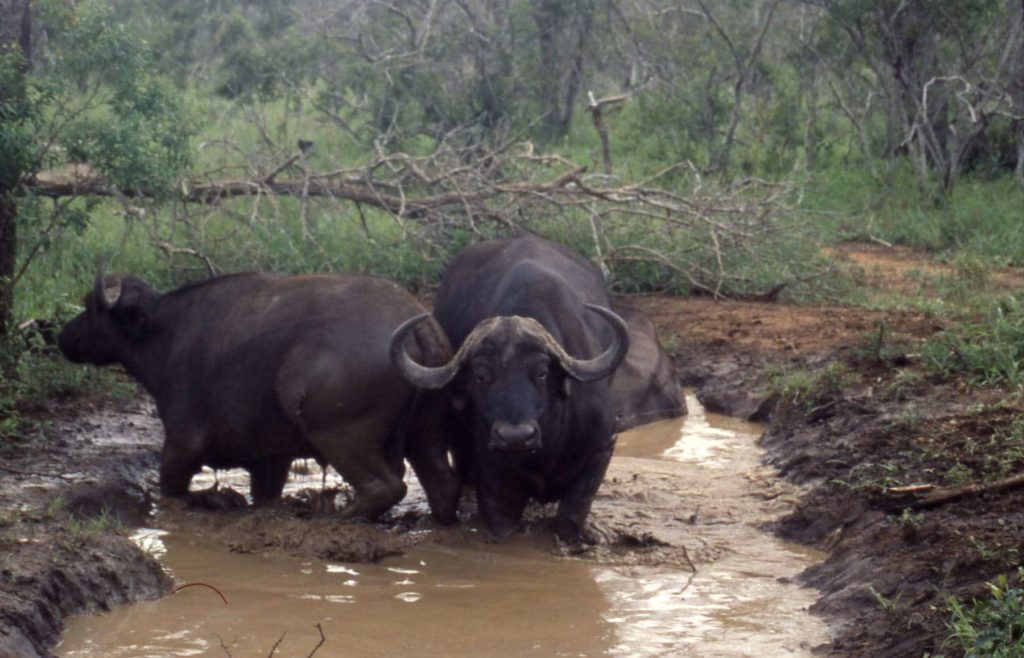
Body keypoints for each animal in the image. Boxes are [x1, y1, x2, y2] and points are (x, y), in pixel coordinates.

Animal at [59, 270, 460, 521]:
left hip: (340, 434)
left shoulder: (181, 443)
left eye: (91, 306)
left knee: (384, 487)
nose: (63, 336)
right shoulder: (270, 459)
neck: (165, 333)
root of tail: (415, 321)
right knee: (441, 484)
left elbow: (172, 489)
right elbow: (265, 493)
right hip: (425, 433)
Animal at [391, 234, 630, 544]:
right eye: (481, 376)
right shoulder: (491, 476)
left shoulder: (601, 446)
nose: (516, 437)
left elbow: (571, 517)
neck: (545, 448)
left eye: (541, 373)